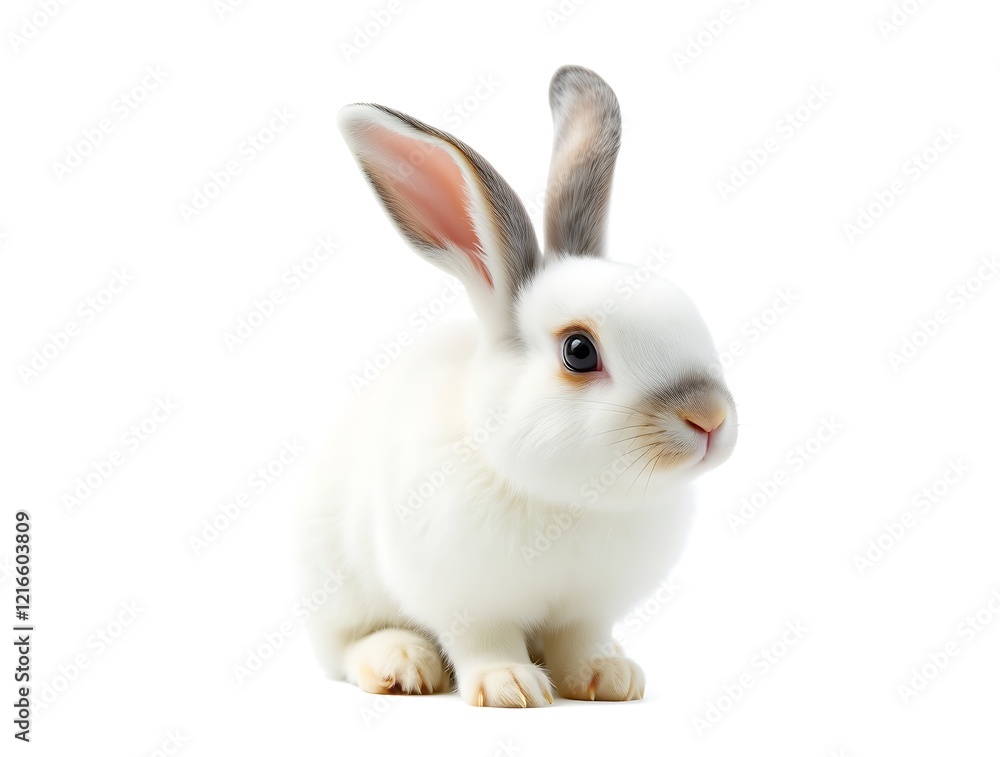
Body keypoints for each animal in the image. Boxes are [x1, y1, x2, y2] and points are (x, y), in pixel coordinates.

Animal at [295, 65, 737, 707]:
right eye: (579, 351)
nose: (710, 418)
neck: (570, 500)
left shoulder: (588, 608)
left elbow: (581, 640)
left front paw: (609, 678)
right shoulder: (467, 602)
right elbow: (485, 642)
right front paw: (511, 687)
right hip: (338, 588)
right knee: (349, 645)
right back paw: (401, 664)